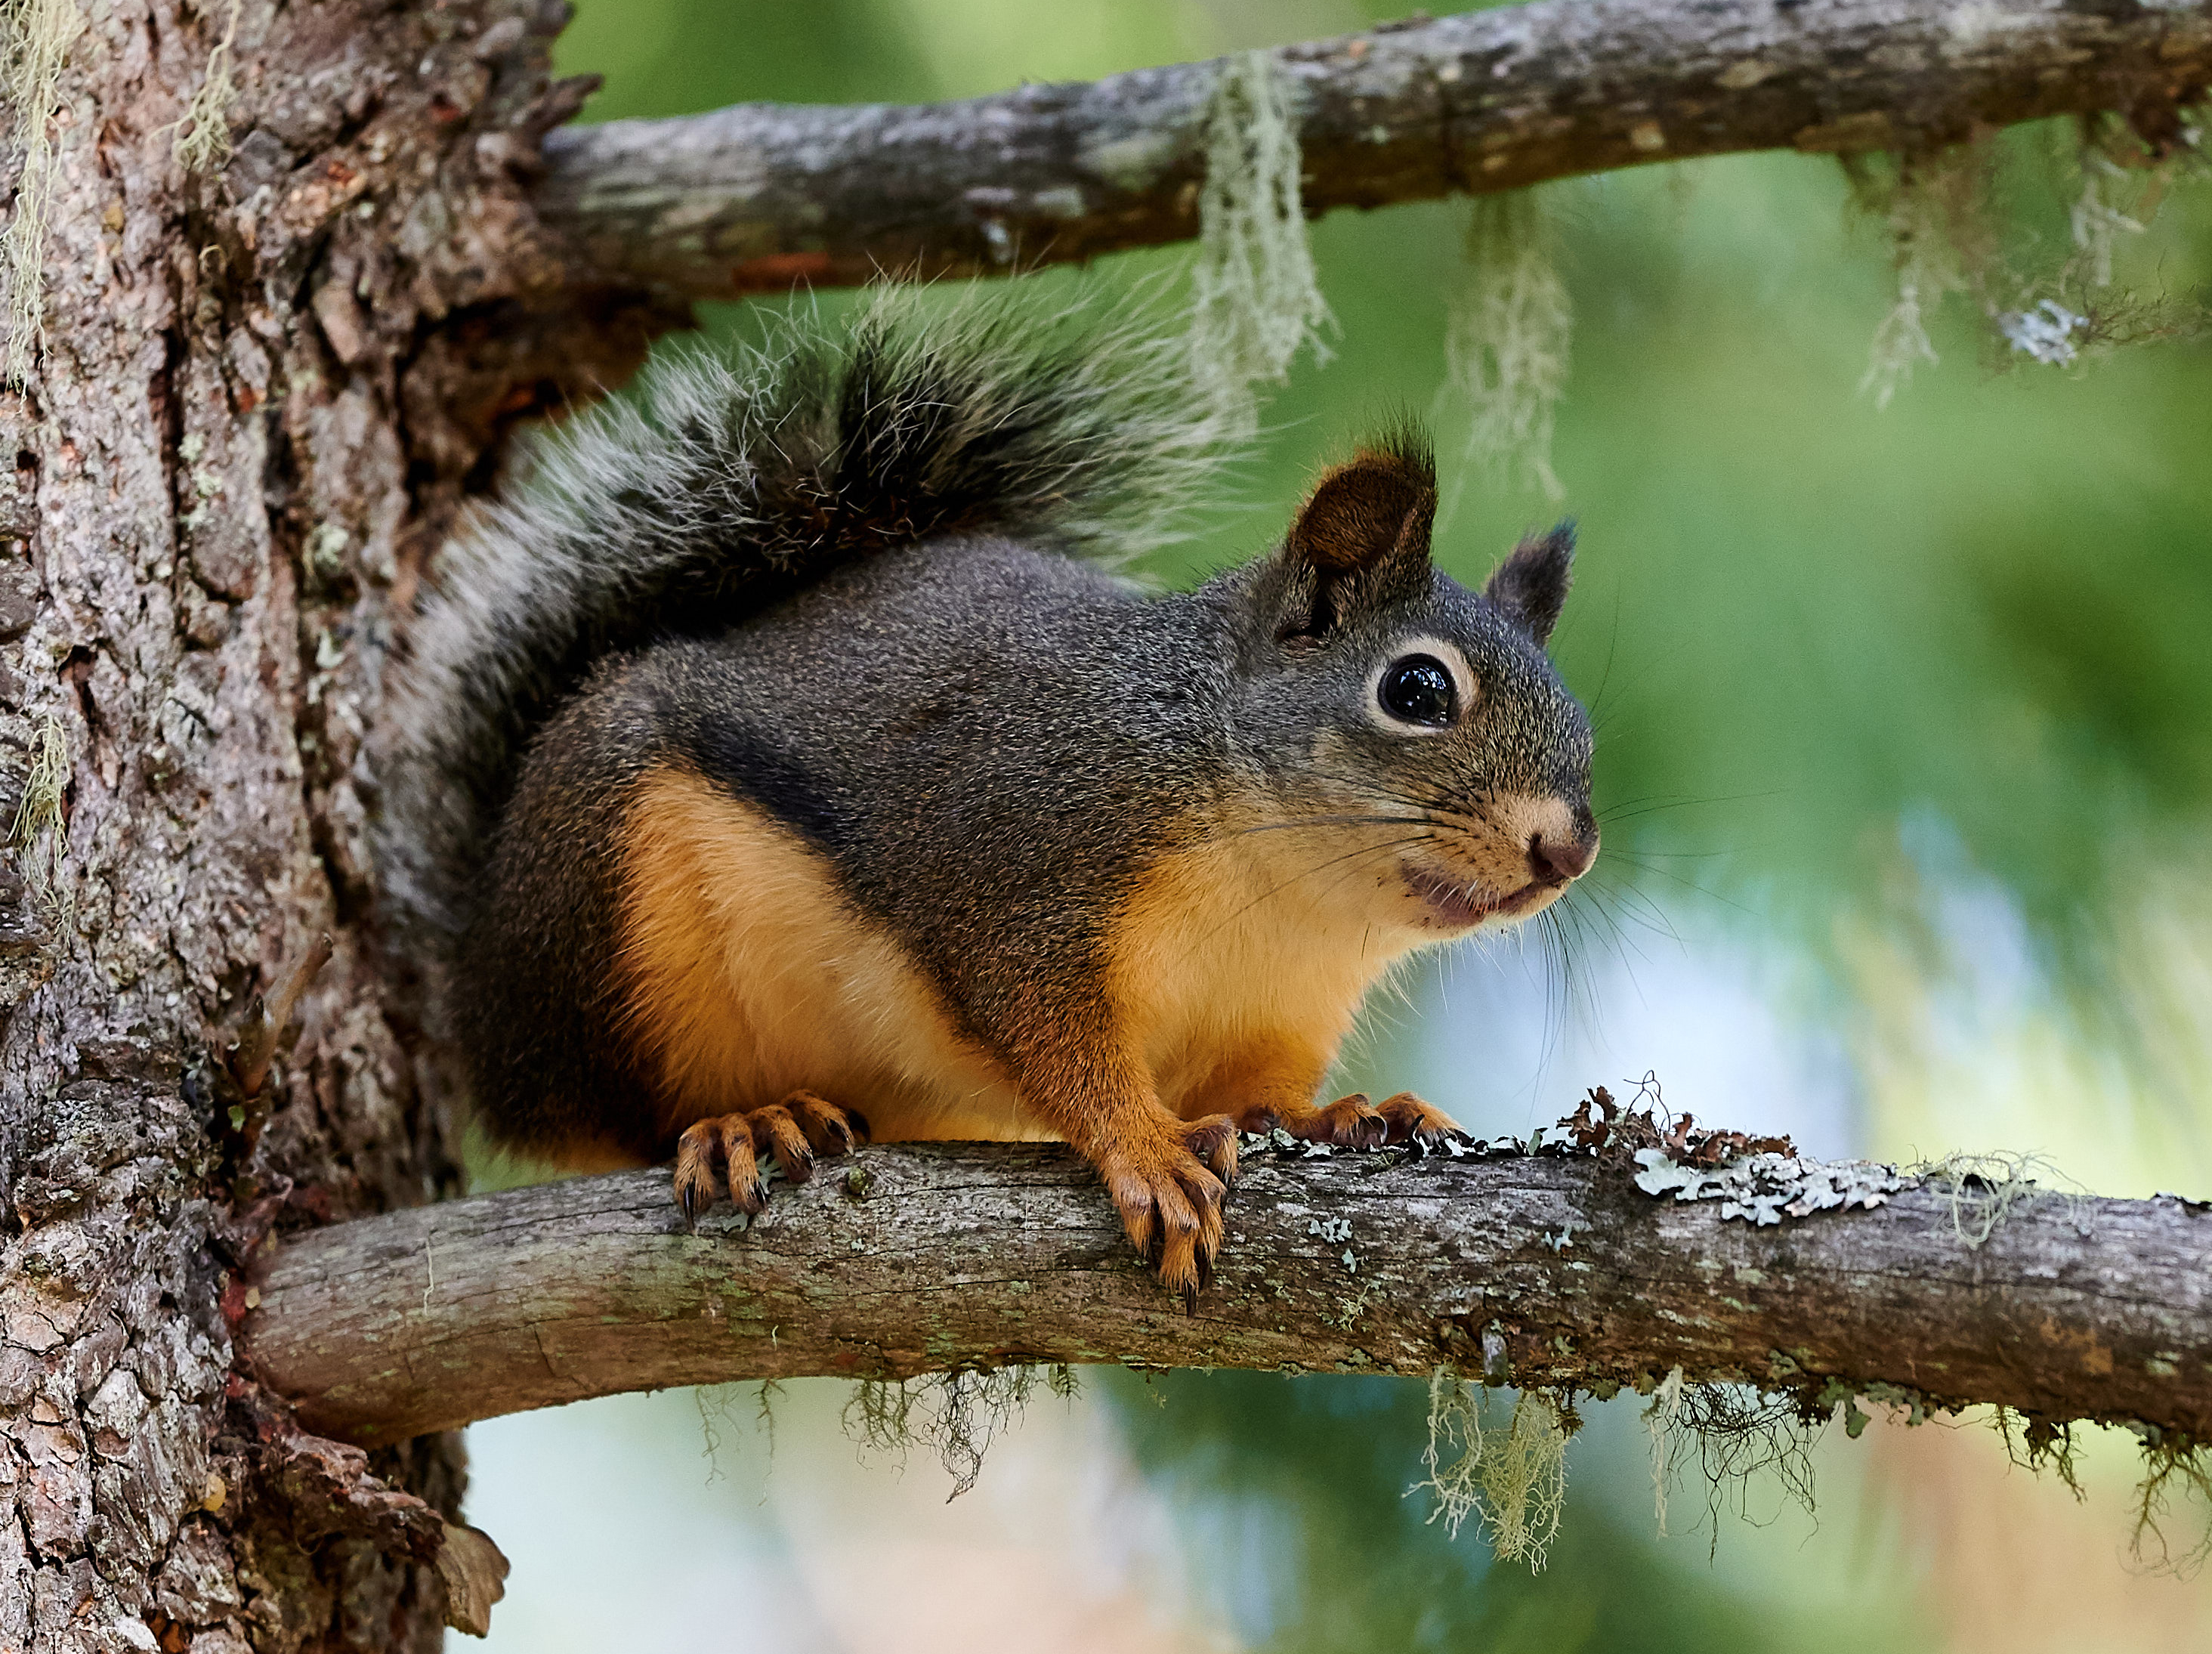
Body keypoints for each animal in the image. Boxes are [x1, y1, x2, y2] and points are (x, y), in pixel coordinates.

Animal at [375, 294, 1593, 1309]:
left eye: (1578, 715)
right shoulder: (1023, 866)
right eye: (1417, 689)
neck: (1288, 888)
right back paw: (742, 1121)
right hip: (614, 914)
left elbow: (1260, 1096)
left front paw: (1345, 1115)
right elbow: (1053, 1035)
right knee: (615, 1113)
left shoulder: (1277, 1009)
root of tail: (478, 984)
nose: (1568, 850)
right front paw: (1147, 1149)